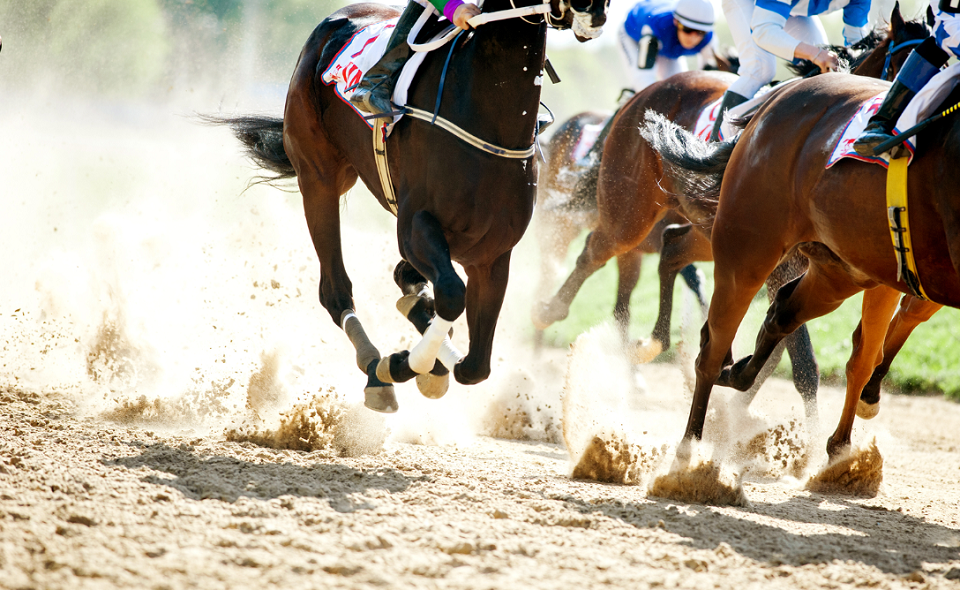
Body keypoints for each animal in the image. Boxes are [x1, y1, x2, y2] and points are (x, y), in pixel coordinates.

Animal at [205, 0, 608, 416]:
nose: (594, 12)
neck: (489, 120)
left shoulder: (492, 254)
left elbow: (475, 366)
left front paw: (430, 355)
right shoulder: (416, 226)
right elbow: (452, 294)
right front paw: (401, 364)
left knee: (407, 284)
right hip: (319, 178)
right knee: (335, 291)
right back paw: (374, 367)